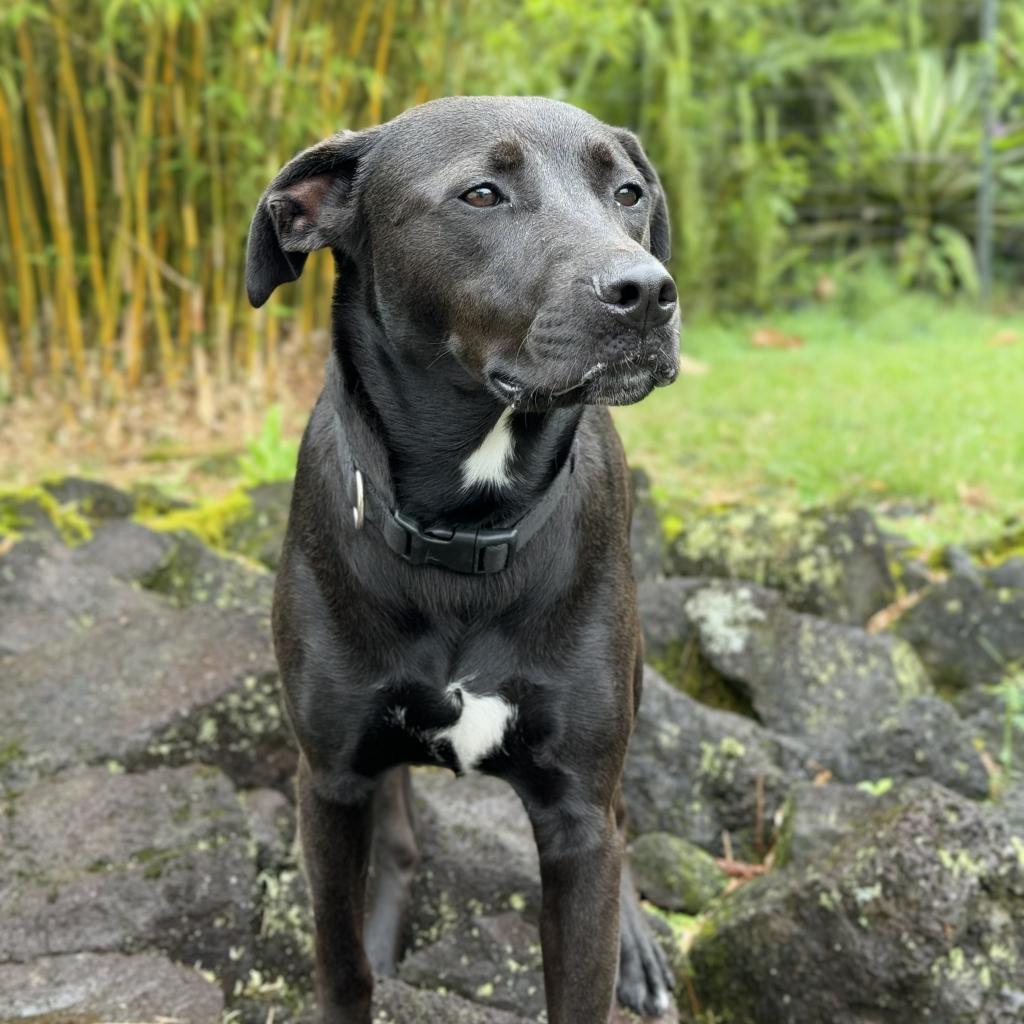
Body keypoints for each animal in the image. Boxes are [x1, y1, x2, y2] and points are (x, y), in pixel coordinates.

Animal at [245, 96, 679, 1024]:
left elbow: (584, 965)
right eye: (482, 193)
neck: (464, 531)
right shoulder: (329, 782)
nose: (648, 293)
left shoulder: (577, 813)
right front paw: (366, 958)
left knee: (623, 815)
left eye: (627, 192)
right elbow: (341, 962)